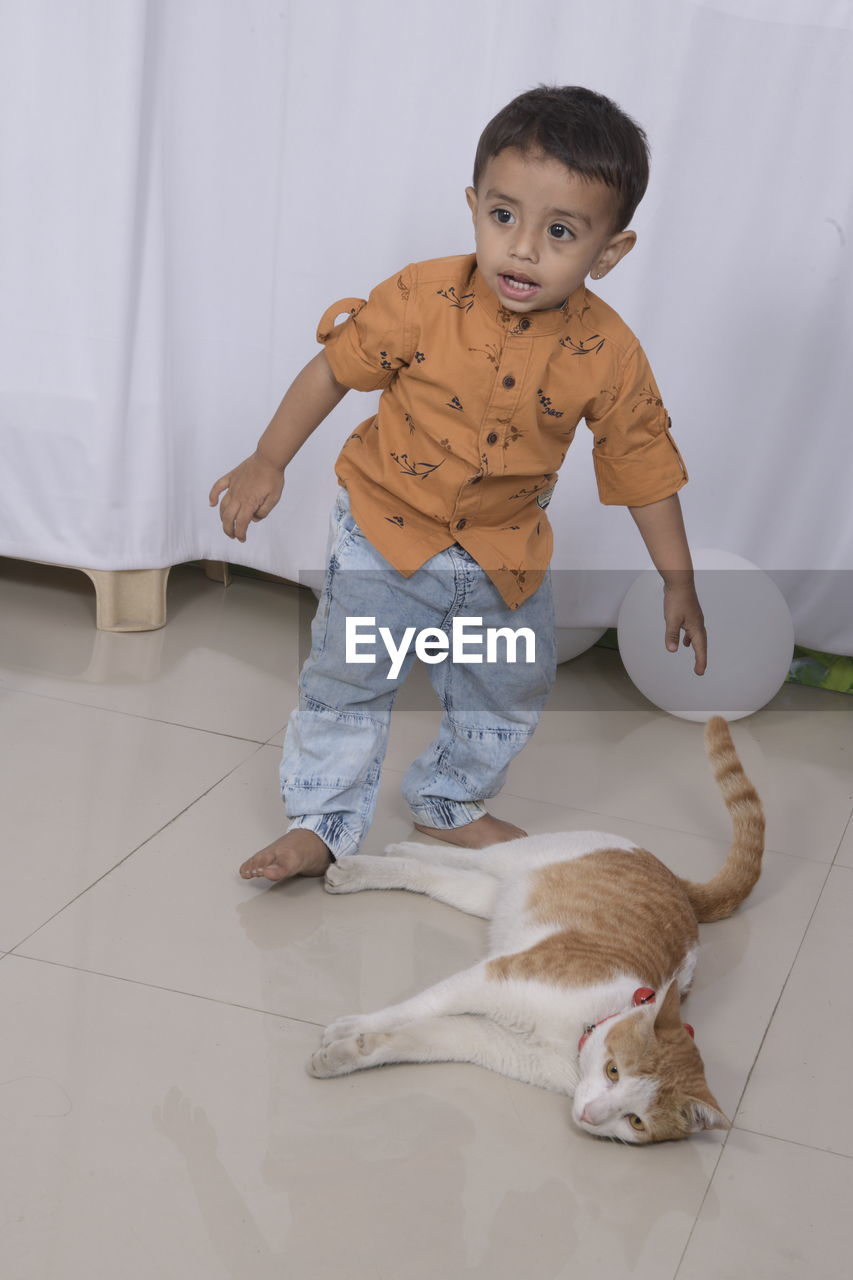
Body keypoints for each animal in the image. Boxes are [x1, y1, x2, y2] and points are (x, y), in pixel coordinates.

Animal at [308, 716, 758, 1146]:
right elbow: (411, 1008)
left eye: (636, 1121)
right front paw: (352, 1027)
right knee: (467, 855)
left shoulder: (482, 1037)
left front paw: (347, 1053)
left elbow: (417, 1038)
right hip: (517, 855)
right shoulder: (486, 978)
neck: (582, 1029)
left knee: (437, 876)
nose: (590, 1115)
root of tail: (673, 877)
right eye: (613, 1071)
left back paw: (373, 867)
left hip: (489, 897)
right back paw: (392, 851)